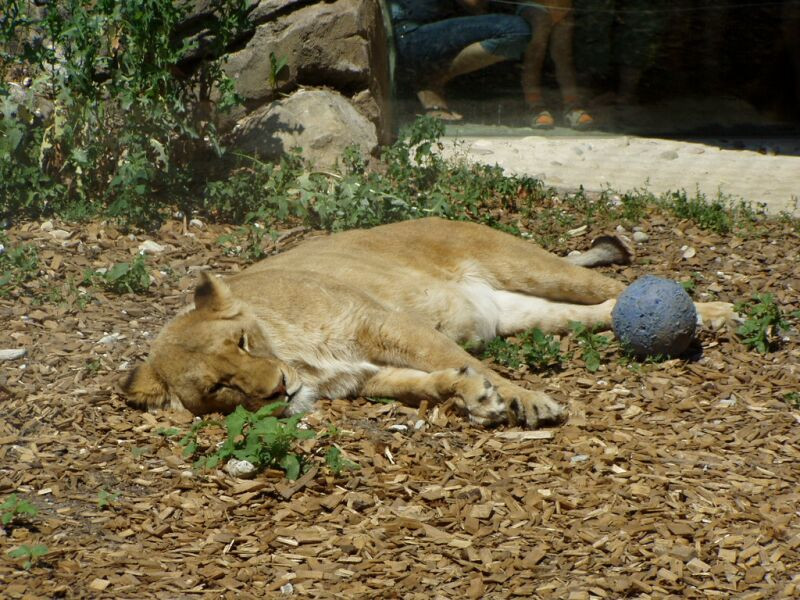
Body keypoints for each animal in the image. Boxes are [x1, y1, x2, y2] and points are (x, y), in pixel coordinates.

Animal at [122, 218, 736, 428]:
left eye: (244, 341)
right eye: (219, 387)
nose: (278, 390)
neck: (298, 360)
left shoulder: (383, 323)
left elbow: (456, 357)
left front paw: (528, 402)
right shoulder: (362, 376)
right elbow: (431, 380)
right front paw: (474, 397)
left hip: (525, 263)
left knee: (617, 288)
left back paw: (720, 314)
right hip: (524, 312)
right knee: (603, 311)